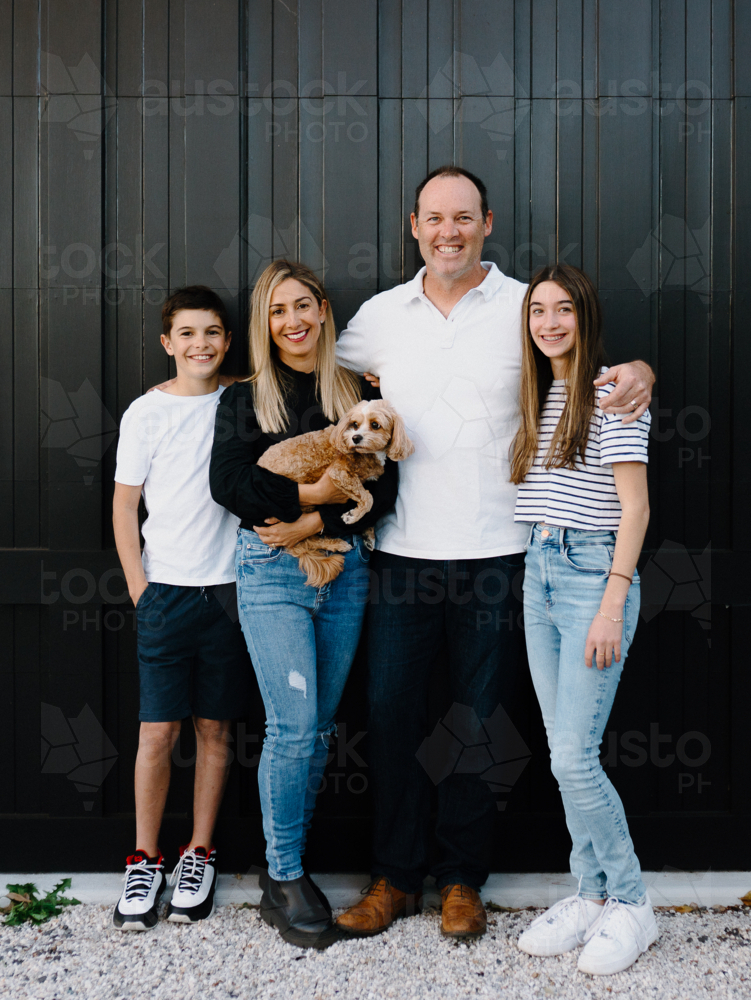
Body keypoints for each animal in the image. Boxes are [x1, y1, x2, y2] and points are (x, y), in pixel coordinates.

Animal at [256, 398, 414, 584]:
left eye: (375, 425)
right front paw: (353, 516)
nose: (355, 437)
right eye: (355, 424)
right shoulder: (339, 473)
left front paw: (368, 533)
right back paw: (336, 544)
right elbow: (368, 498)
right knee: (307, 541)